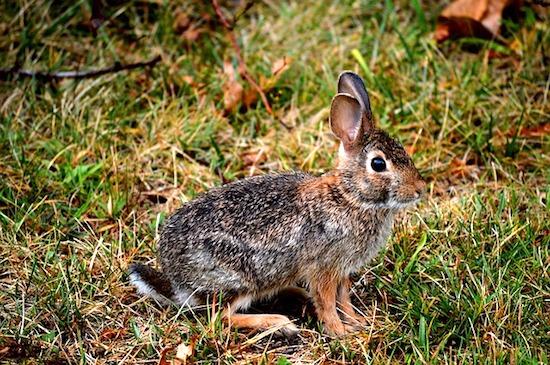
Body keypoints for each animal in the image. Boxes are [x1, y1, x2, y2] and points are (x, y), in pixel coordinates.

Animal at [129, 71, 426, 336]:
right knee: (220, 318)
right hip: (238, 279)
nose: (420, 189)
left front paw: (357, 324)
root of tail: (176, 280)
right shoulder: (323, 268)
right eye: (378, 164)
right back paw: (279, 324)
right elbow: (328, 302)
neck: (350, 196)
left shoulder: (341, 270)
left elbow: (344, 299)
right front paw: (340, 333)